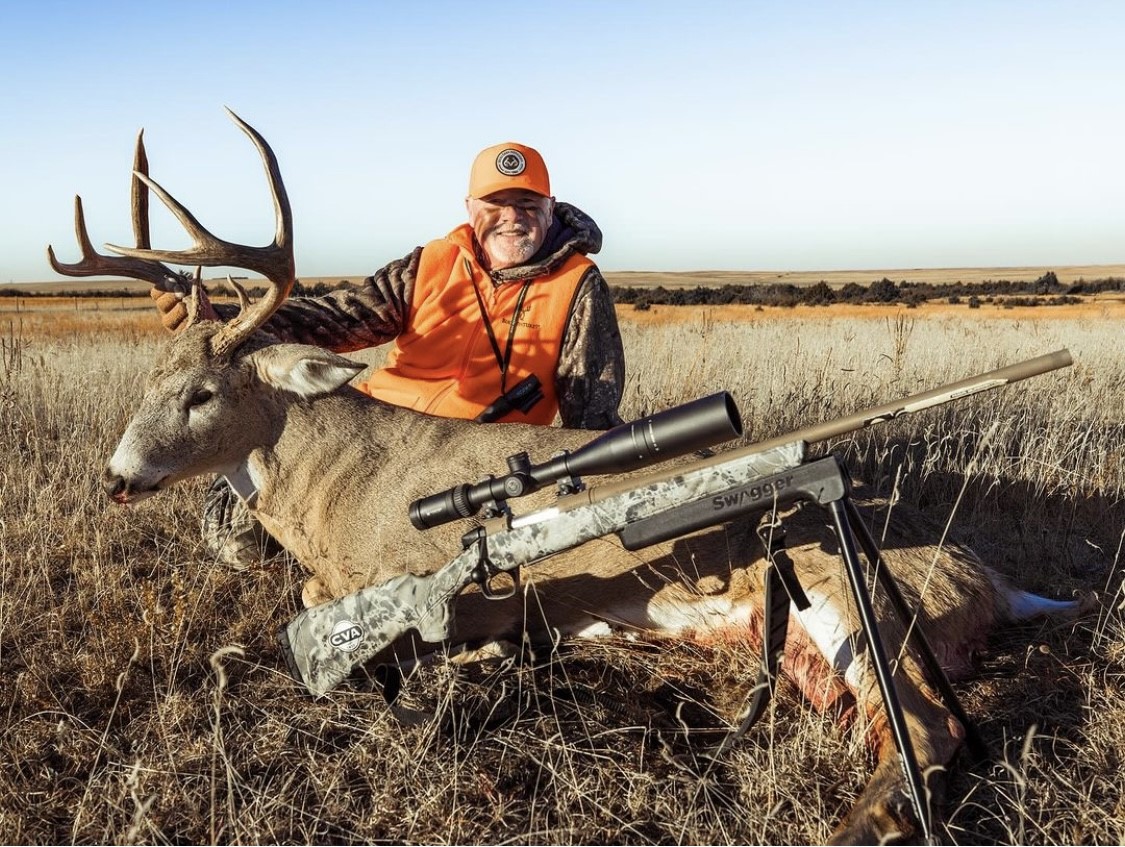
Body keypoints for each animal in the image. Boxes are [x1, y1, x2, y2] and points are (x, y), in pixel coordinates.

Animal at [50, 110, 1089, 845]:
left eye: (201, 391)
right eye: (148, 380)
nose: (117, 475)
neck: (326, 485)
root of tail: (992, 581)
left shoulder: (439, 584)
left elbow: (338, 613)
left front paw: (465, 662)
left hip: (849, 589)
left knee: (929, 732)